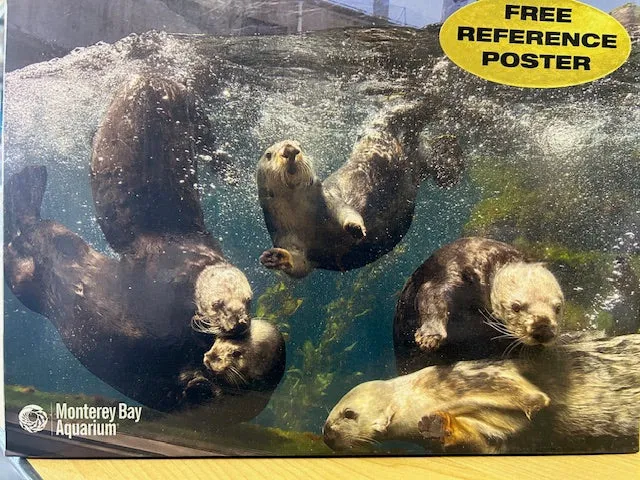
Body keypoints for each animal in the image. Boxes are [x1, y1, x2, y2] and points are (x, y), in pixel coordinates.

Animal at [257, 100, 465, 278]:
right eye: (269, 154)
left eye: (300, 145)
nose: (290, 150)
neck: (305, 217)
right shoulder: (284, 236)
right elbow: (300, 267)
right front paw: (276, 258)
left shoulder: (330, 201)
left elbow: (347, 212)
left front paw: (355, 227)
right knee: (430, 157)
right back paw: (451, 155)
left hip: (382, 134)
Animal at [393, 237, 564, 375]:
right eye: (516, 307)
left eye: (558, 308)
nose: (543, 330)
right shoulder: (452, 271)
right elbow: (432, 297)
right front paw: (430, 336)